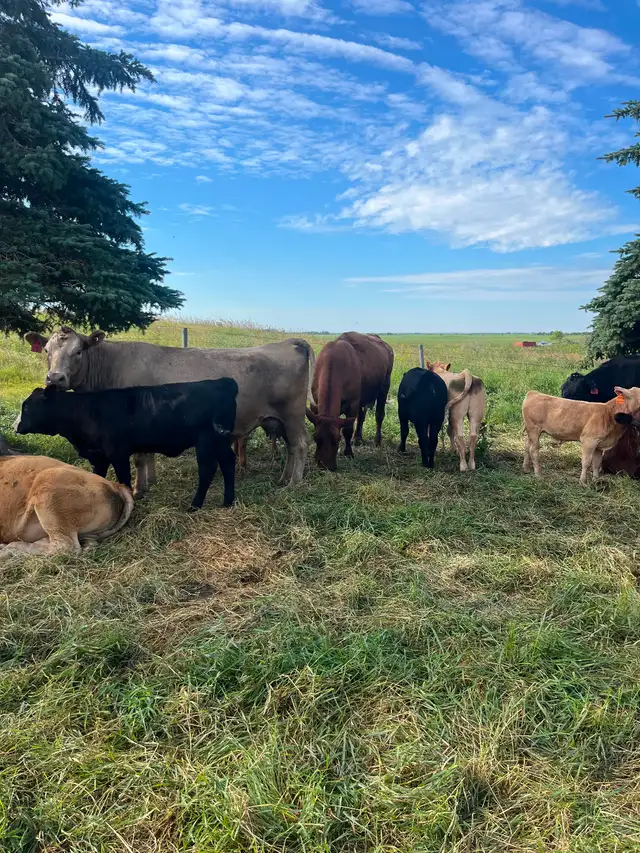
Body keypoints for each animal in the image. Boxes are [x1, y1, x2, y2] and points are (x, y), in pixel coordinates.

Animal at [15, 379, 238, 510]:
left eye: (26, 406)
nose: (15, 426)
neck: (85, 411)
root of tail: (223, 381)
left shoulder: (118, 453)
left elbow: (124, 480)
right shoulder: (99, 457)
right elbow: (97, 478)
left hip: (207, 441)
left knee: (207, 470)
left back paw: (195, 505)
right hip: (220, 441)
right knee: (228, 462)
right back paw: (227, 501)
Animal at [24, 328, 314, 495]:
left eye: (78, 351)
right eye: (47, 350)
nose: (55, 378)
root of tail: (289, 342)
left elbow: (139, 458)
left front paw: (139, 489)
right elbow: (148, 454)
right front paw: (150, 481)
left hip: (292, 415)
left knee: (300, 445)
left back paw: (294, 483)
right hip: (279, 419)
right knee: (291, 447)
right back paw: (284, 478)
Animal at [305, 332, 394, 471]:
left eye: (337, 439)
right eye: (316, 438)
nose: (326, 466)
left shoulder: (352, 404)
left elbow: (347, 430)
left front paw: (348, 452)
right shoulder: (314, 405)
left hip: (384, 386)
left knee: (379, 415)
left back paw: (377, 440)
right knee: (361, 416)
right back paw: (357, 438)